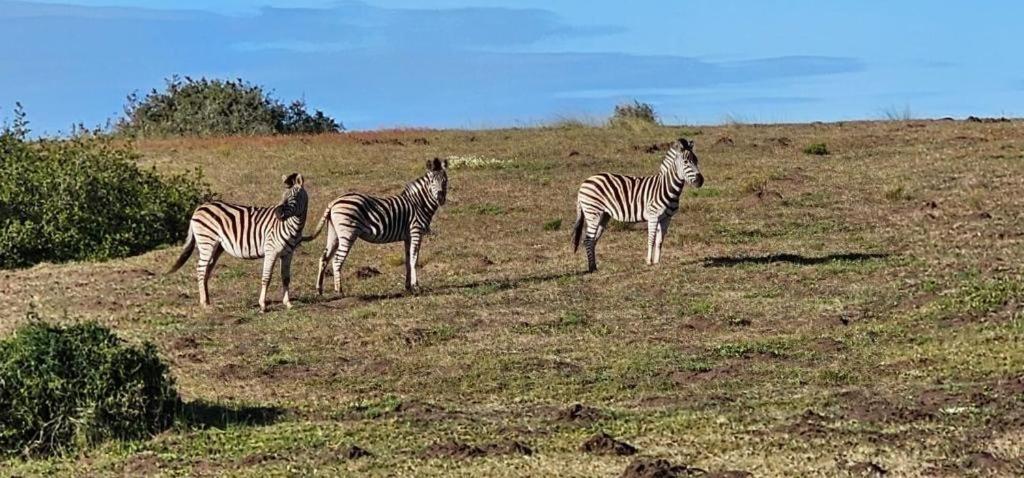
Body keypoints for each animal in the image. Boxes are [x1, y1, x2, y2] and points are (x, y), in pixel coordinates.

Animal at [163, 174, 305, 313]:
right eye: (282, 196)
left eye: (293, 197)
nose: (277, 214)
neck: (293, 226)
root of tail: (199, 207)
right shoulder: (271, 250)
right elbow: (266, 278)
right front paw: (263, 305)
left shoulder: (288, 253)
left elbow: (286, 278)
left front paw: (288, 304)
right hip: (207, 242)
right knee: (201, 269)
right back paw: (204, 303)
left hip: (217, 247)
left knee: (207, 270)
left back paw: (208, 301)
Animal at [303, 158, 448, 296]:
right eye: (431, 181)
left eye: (445, 181)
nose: (440, 197)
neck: (418, 203)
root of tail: (334, 201)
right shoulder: (416, 232)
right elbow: (414, 259)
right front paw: (416, 286)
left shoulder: (408, 237)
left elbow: (407, 260)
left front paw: (407, 287)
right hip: (347, 233)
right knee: (337, 260)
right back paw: (339, 290)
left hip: (334, 233)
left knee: (324, 258)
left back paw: (319, 289)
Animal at [569, 138, 704, 272]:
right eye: (686, 162)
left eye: (696, 161)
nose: (700, 181)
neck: (665, 187)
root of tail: (585, 182)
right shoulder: (653, 216)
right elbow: (651, 239)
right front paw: (649, 262)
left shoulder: (666, 218)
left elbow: (660, 241)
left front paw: (657, 262)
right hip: (593, 212)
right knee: (588, 239)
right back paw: (591, 268)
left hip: (603, 215)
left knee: (593, 240)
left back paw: (594, 266)